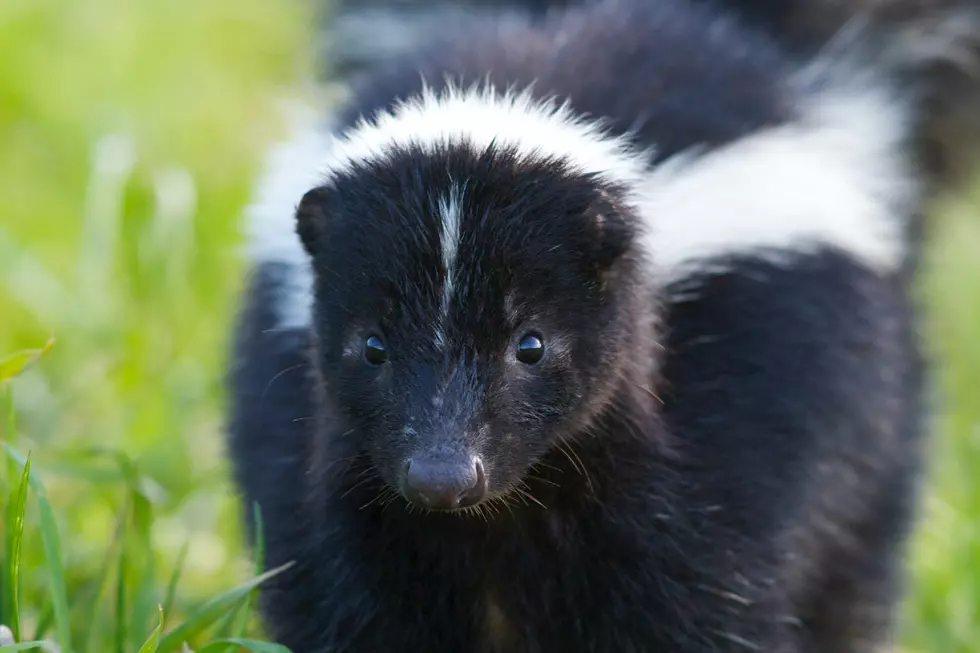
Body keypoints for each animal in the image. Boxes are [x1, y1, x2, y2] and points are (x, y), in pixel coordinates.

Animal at [224, 0, 980, 648]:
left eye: (531, 345)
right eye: (373, 346)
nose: (443, 475)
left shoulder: (713, 462)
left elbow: (697, 608)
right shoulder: (352, 495)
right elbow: (354, 605)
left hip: (866, 419)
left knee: (851, 576)